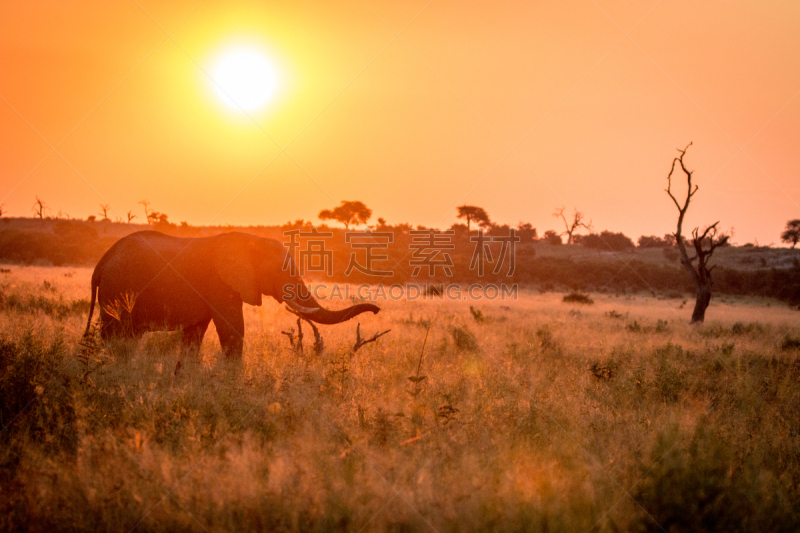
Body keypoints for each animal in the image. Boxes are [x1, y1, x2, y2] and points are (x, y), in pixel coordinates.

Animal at [84, 230, 382, 358]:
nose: (377, 310)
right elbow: (232, 330)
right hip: (117, 291)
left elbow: (195, 335)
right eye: (280, 273)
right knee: (116, 334)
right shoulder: (220, 285)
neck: (250, 241)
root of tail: (100, 264)